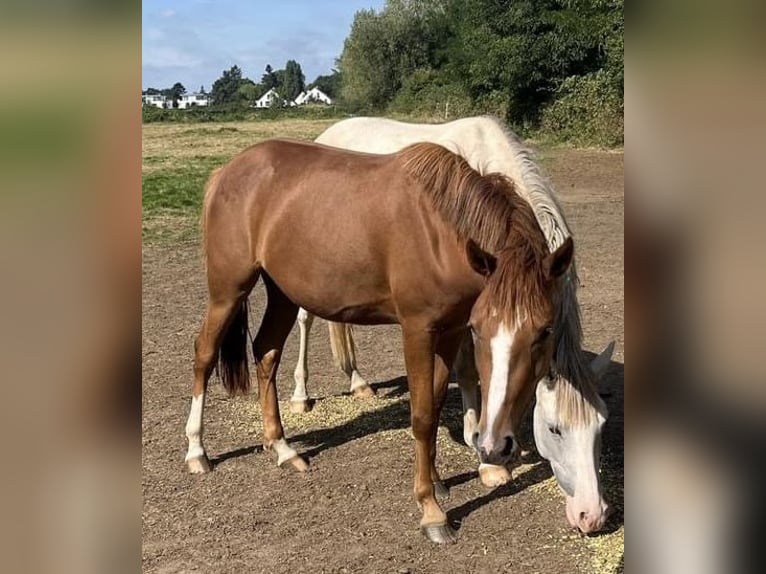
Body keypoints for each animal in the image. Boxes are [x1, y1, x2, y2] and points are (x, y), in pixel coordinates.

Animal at [184, 140, 568, 544]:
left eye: (544, 331)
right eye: (479, 331)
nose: (497, 446)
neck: (440, 232)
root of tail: (226, 171)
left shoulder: (448, 331)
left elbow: (434, 403)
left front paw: (437, 482)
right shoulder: (417, 330)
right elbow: (422, 416)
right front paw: (431, 510)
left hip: (282, 293)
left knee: (266, 353)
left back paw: (283, 448)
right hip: (228, 290)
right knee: (204, 355)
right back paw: (197, 451)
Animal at [292, 117, 616, 536]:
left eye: (600, 427)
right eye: (554, 427)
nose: (592, 515)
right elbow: (468, 372)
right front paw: (485, 459)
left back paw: (359, 383)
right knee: (304, 320)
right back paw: (300, 395)